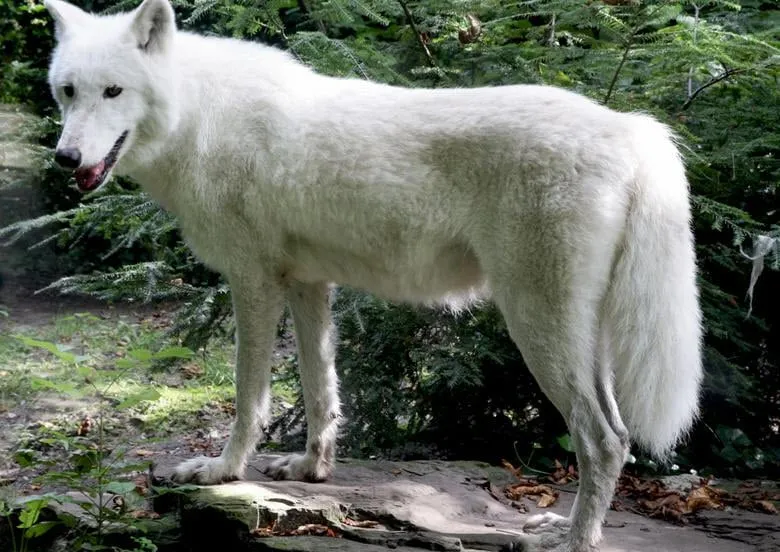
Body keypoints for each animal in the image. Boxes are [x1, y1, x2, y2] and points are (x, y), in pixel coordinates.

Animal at [42, 0, 703, 550]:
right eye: (68, 92)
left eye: (114, 91)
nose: (66, 158)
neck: (201, 116)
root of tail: (631, 127)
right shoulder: (307, 284)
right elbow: (320, 390)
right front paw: (311, 470)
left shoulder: (253, 282)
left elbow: (249, 398)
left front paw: (222, 473)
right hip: (579, 337)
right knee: (614, 435)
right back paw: (562, 527)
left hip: (538, 326)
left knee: (604, 440)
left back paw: (572, 540)